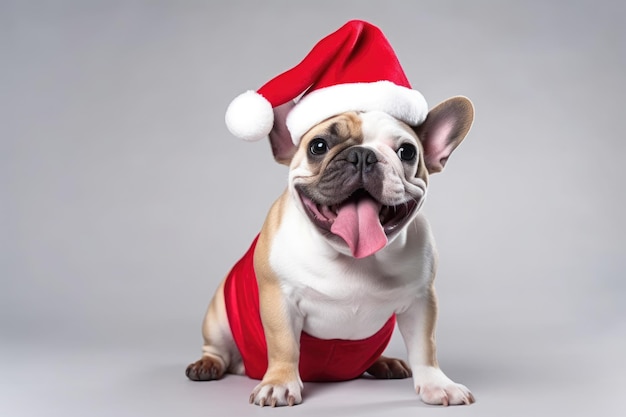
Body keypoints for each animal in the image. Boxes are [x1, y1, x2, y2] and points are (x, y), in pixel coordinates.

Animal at [185, 95, 472, 406]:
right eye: (318, 146)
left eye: (407, 152)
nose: (362, 155)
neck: (353, 257)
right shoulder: (280, 298)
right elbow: (284, 345)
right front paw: (278, 384)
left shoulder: (421, 301)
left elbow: (425, 347)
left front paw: (438, 385)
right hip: (217, 318)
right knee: (217, 349)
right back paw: (206, 365)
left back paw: (383, 362)